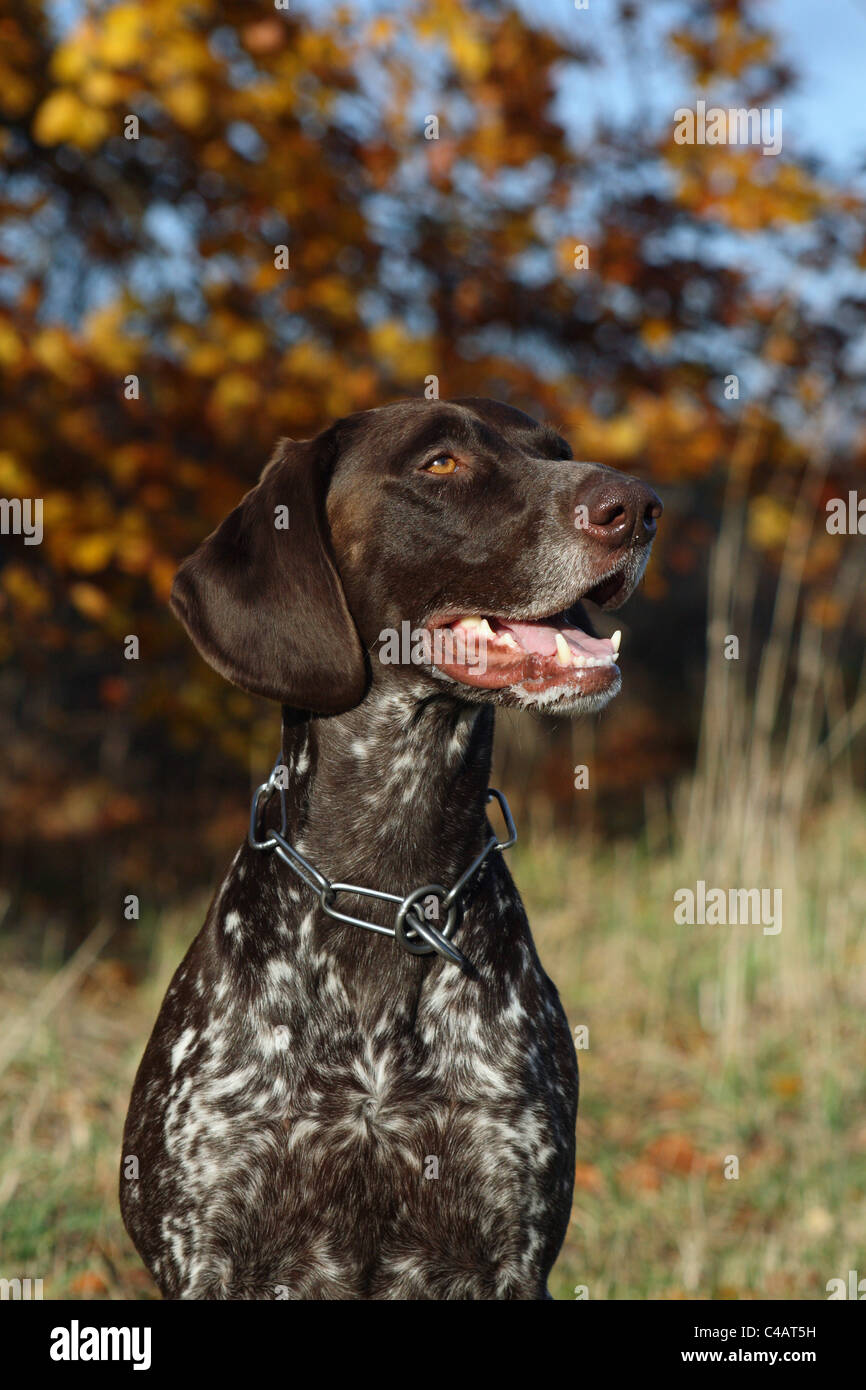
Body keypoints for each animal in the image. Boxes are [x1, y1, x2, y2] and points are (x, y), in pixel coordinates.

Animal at [120, 397, 664, 1295]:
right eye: (439, 463)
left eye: (556, 452)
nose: (639, 507)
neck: (389, 890)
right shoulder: (208, 1248)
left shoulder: (511, 1248)